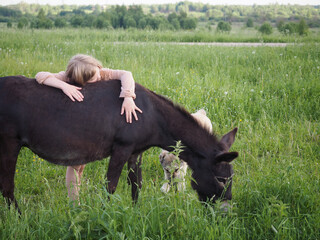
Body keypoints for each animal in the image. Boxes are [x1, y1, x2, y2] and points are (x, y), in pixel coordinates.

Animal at [0, 75, 236, 212]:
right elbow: (111, 186)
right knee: (7, 188)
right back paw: (20, 220)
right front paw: (104, 217)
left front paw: (136, 215)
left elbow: (136, 185)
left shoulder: (136, 152)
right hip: (9, 143)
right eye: (221, 179)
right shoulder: (121, 148)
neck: (151, 115)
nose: (226, 211)